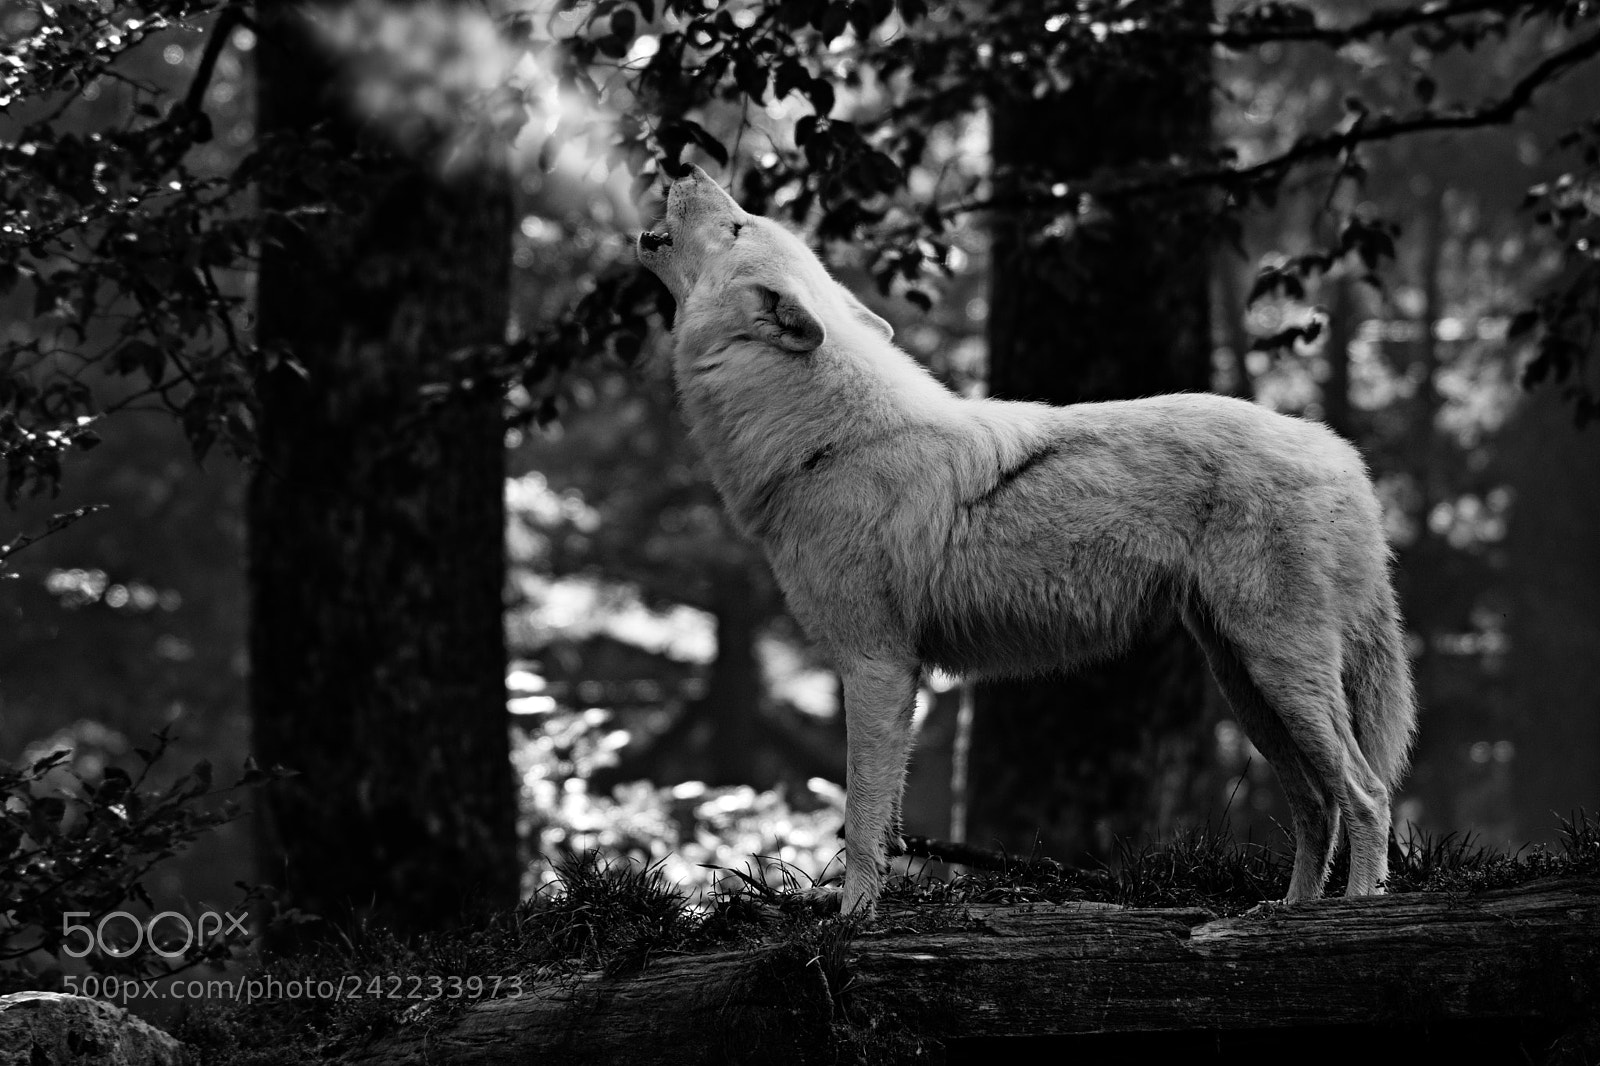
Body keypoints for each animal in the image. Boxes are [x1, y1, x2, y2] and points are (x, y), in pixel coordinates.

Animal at [637, 165, 1418, 916]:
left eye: (738, 225)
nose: (690, 164)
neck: (826, 442)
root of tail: (1338, 453)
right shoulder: (899, 676)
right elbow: (887, 823)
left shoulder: (874, 664)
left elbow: (858, 821)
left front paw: (851, 920)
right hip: (1246, 681)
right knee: (1318, 804)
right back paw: (1287, 911)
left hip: (1278, 669)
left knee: (1367, 794)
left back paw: (1354, 909)